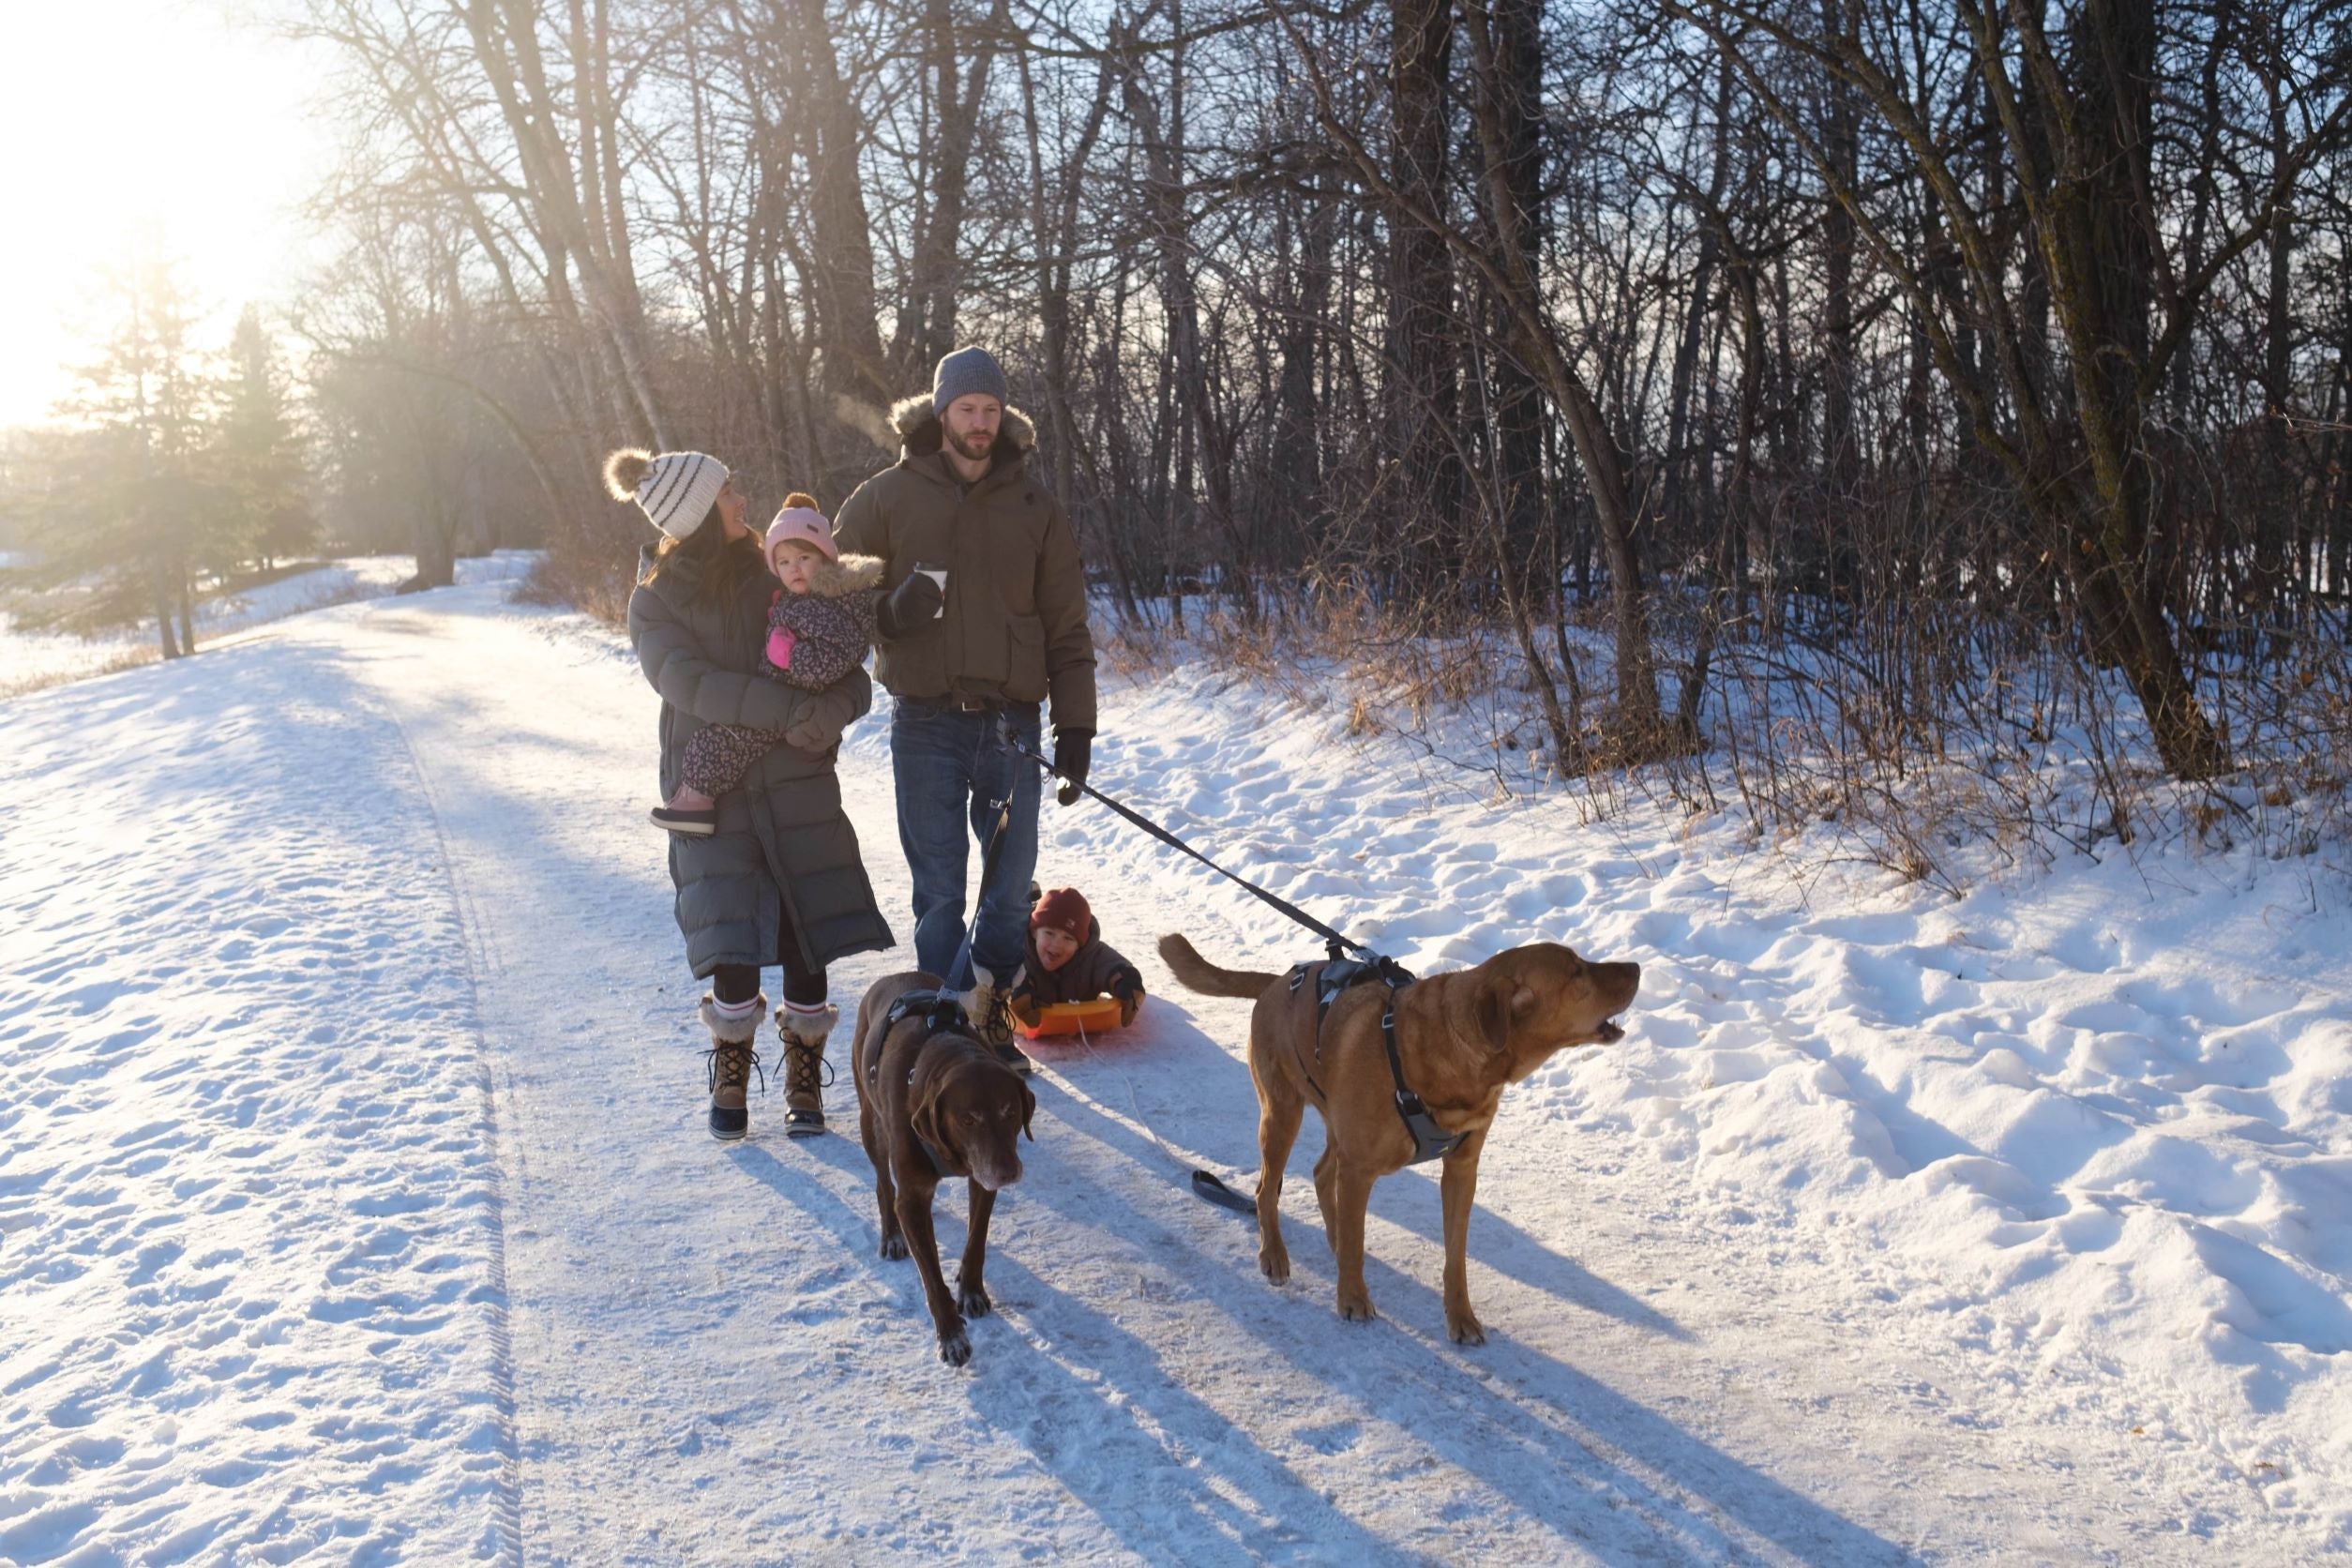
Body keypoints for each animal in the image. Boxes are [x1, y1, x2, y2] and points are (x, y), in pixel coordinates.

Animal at [846, 968, 1030, 1363]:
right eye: (968, 1119)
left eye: (1010, 1111)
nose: (1007, 1172)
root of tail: (893, 976)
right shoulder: (913, 1200)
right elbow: (930, 1274)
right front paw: (951, 1335)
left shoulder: (981, 1180)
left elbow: (976, 1242)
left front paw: (971, 1291)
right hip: (872, 1123)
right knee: (884, 1185)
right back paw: (892, 1234)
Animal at [1156, 930, 1636, 1353]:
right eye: (1577, 971)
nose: (1635, 968)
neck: (1449, 1050)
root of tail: (1275, 983)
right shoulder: (1360, 1169)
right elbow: (1356, 1238)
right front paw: (1352, 1297)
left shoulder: (1461, 1171)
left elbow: (1455, 1258)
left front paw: (1461, 1318)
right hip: (1282, 1114)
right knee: (1265, 1190)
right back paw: (1274, 1252)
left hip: (1335, 1125)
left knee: (1321, 1173)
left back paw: (1333, 1240)